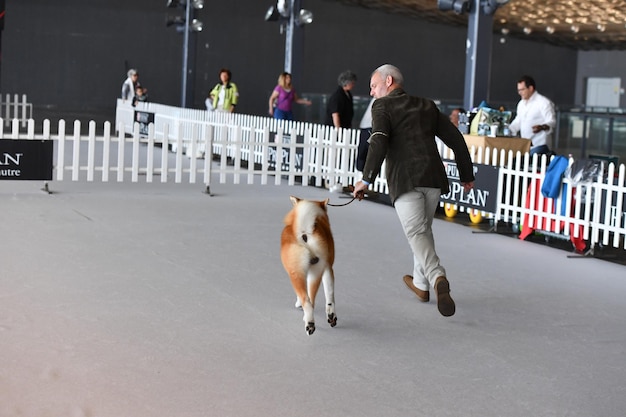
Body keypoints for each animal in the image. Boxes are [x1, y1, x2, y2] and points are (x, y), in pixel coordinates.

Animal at [280, 195, 336, 334]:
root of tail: (305, 233)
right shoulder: (328, 268)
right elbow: (330, 294)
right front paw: (331, 314)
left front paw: (298, 304)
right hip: (315, 272)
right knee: (311, 299)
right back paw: (316, 321)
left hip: (297, 273)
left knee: (307, 300)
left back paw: (309, 323)